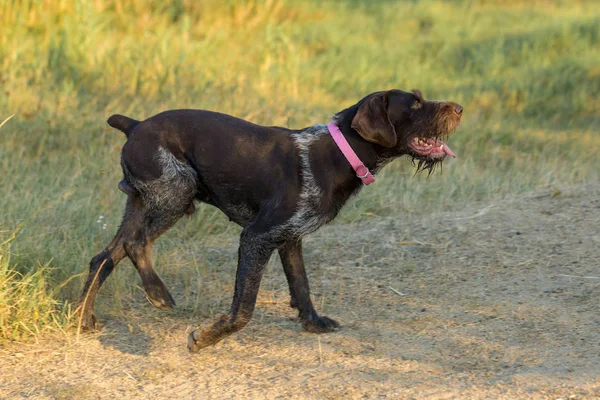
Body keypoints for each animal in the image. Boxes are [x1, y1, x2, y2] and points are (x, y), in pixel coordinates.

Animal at [79, 89, 462, 352]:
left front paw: (313, 322)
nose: (459, 108)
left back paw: (84, 319)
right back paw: (158, 293)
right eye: (415, 104)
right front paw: (206, 338)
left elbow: (301, 284)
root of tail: (134, 126)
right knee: (135, 244)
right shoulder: (257, 237)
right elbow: (244, 310)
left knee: (103, 258)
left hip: (145, 202)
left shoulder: (289, 237)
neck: (339, 153)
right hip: (176, 193)